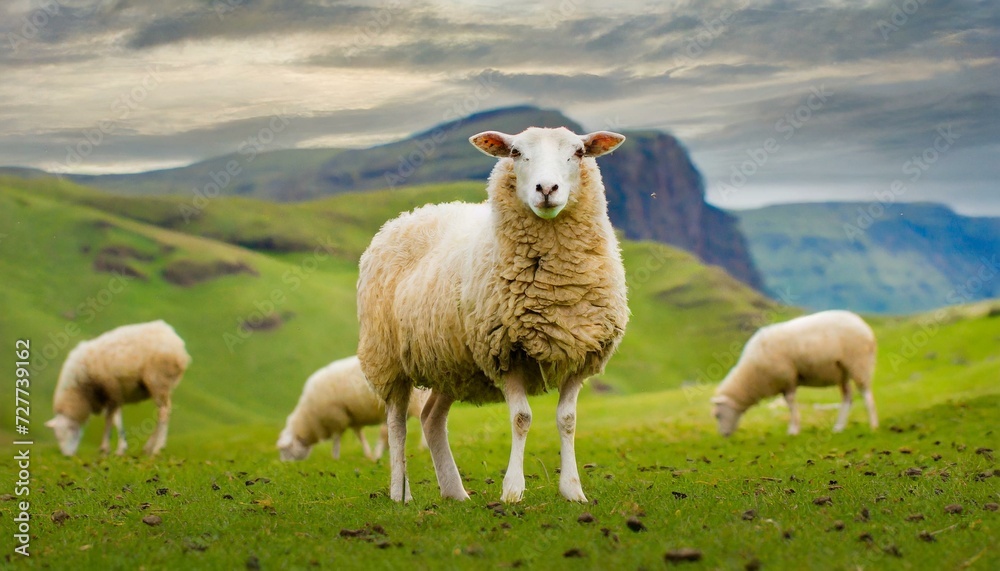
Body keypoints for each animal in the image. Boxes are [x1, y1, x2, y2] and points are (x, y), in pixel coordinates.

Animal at [45, 320, 191, 456]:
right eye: (57, 437)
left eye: (70, 428)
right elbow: (112, 418)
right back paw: (148, 447)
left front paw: (115, 448)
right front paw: (108, 448)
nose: (67, 456)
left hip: (158, 380)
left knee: (164, 412)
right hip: (161, 385)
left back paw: (157, 448)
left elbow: (114, 418)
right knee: (161, 413)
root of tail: (177, 342)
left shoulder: (112, 390)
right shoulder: (111, 395)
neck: (80, 391)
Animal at [276, 356, 430, 461]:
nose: (284, 466)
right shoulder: (352, 418)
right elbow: (360, 436)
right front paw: (369, 455)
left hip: (417, 401)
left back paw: (423, 446)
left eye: (285, 450)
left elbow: (336, 439)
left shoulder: (336, 416)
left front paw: (335, 458)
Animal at [357, 126, 629, 504]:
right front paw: (513, 490)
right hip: (388, 357)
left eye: (578, 152)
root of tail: (407, 216)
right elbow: (521, 418)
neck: (556, 285)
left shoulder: (581, 353)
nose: (547, 189)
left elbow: (568, 420)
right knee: (396, 423)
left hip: (451, 362)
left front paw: (573, 490)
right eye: (515, 152)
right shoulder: (505, 350)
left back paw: (455, 492)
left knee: (431, 418)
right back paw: (401, 493)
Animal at [711, 310, 878, 436]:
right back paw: (839, 427)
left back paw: (873, 425)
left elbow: (790, 403)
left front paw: (793, 430)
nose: (723, 435)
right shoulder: (785, 382)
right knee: (847, 398)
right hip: (842, 373)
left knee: (866, 395)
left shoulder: (787, 377)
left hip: (859, 363)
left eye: (717, 415)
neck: (750, 377)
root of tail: (864, 326)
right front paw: (794, 428)